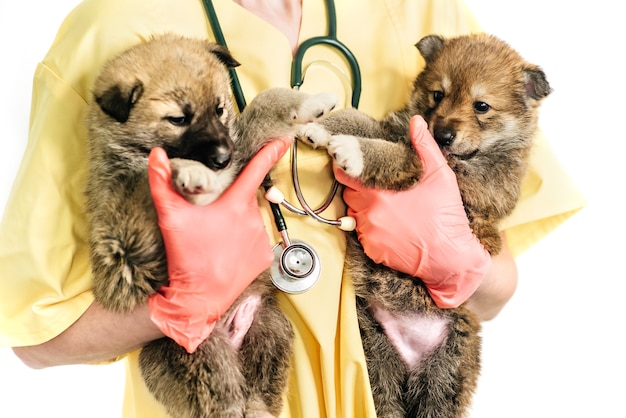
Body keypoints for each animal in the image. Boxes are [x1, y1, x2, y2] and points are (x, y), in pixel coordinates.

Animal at [84, 33, 336, 418]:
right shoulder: (125, 256)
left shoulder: (245, 156)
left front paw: (309, 102)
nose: (222, 159)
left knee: (258, 395)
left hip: (270, 331)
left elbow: (265, 104)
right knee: (228, 401)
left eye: (220, 109)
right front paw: (184, 175)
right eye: (177, 119)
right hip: (194, 357)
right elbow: (145, 183)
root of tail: (230, 333)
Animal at [294, 33, 548, 418]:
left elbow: (399, 154)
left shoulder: (453, 175)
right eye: (438, 95)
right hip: (376, 357)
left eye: (482, 106)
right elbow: (361, 120)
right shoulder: (394, 129)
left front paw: (354, 151)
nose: (441, 134)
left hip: (446, 374)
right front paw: (322, 124)